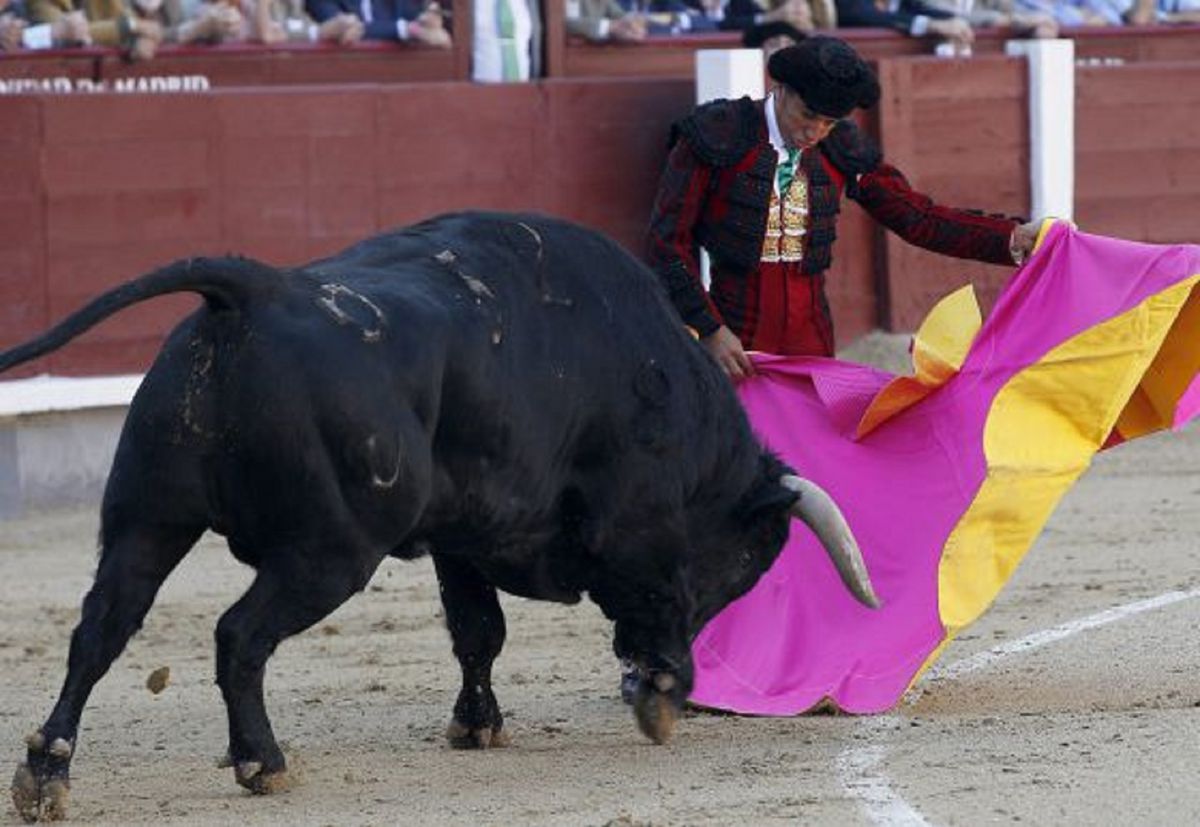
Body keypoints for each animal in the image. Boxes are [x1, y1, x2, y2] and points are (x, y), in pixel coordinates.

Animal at [4, 211, 878, 820]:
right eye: (744, 566)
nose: (670, 683)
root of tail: (258, 289)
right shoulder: (641, 529)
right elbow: (637, 600)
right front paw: (661, 696)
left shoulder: (464, 535)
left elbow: (477, 631)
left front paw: (476, 723)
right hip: (329, 551)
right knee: (238, 635)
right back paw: (263, 761)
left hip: (147, 518)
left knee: (101, 628)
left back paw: (47, 771)